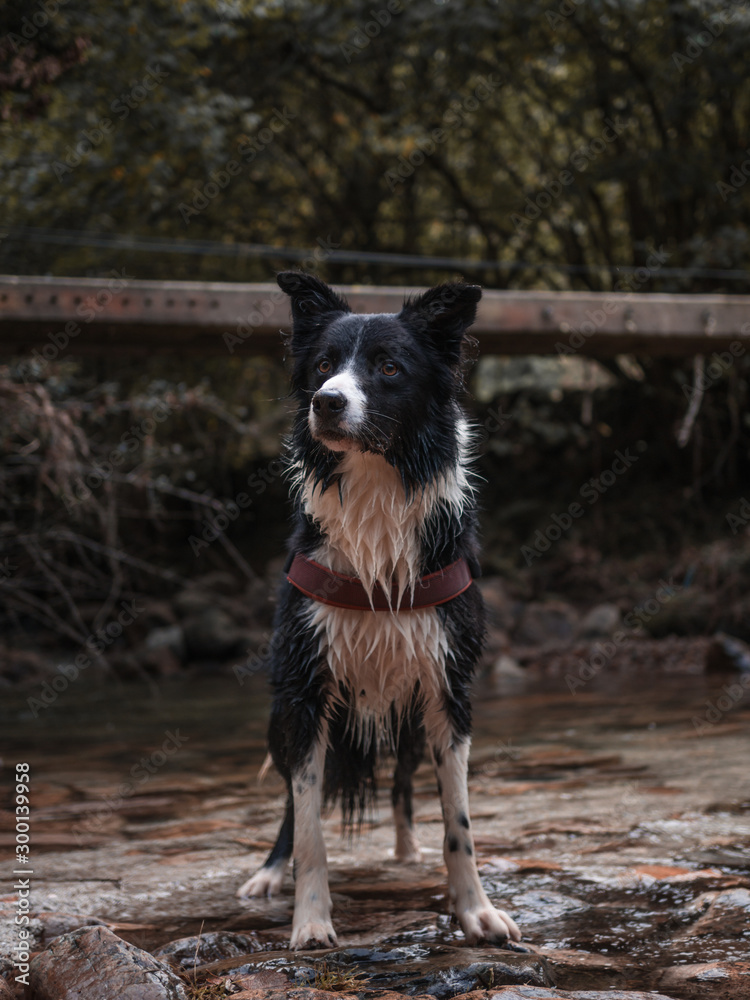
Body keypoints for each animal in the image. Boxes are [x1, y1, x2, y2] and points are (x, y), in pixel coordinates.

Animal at [238, 274, 520, 952]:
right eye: (322, 366)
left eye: (389, 367)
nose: (326, 403)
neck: (374, 487)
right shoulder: (304, 690)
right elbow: (309, 827)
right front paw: (311, 921)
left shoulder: (449, 689)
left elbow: (458, 819)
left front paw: (474, 910)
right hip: (279, 718)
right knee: (291, 806)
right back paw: (269, 873)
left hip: (411, 720)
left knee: (403, 785)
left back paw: (406, 850)